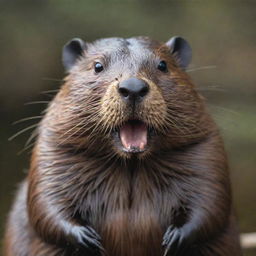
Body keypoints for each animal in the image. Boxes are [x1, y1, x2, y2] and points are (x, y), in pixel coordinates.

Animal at [3, 36, 242, 256]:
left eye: (163, 64)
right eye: (97, 66)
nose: (133, 88)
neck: (131, 166)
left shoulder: (206, 150)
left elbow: (211, 202)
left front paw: (173, 238)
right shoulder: (53, 150)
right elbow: (45, 204)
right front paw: (88, 239)